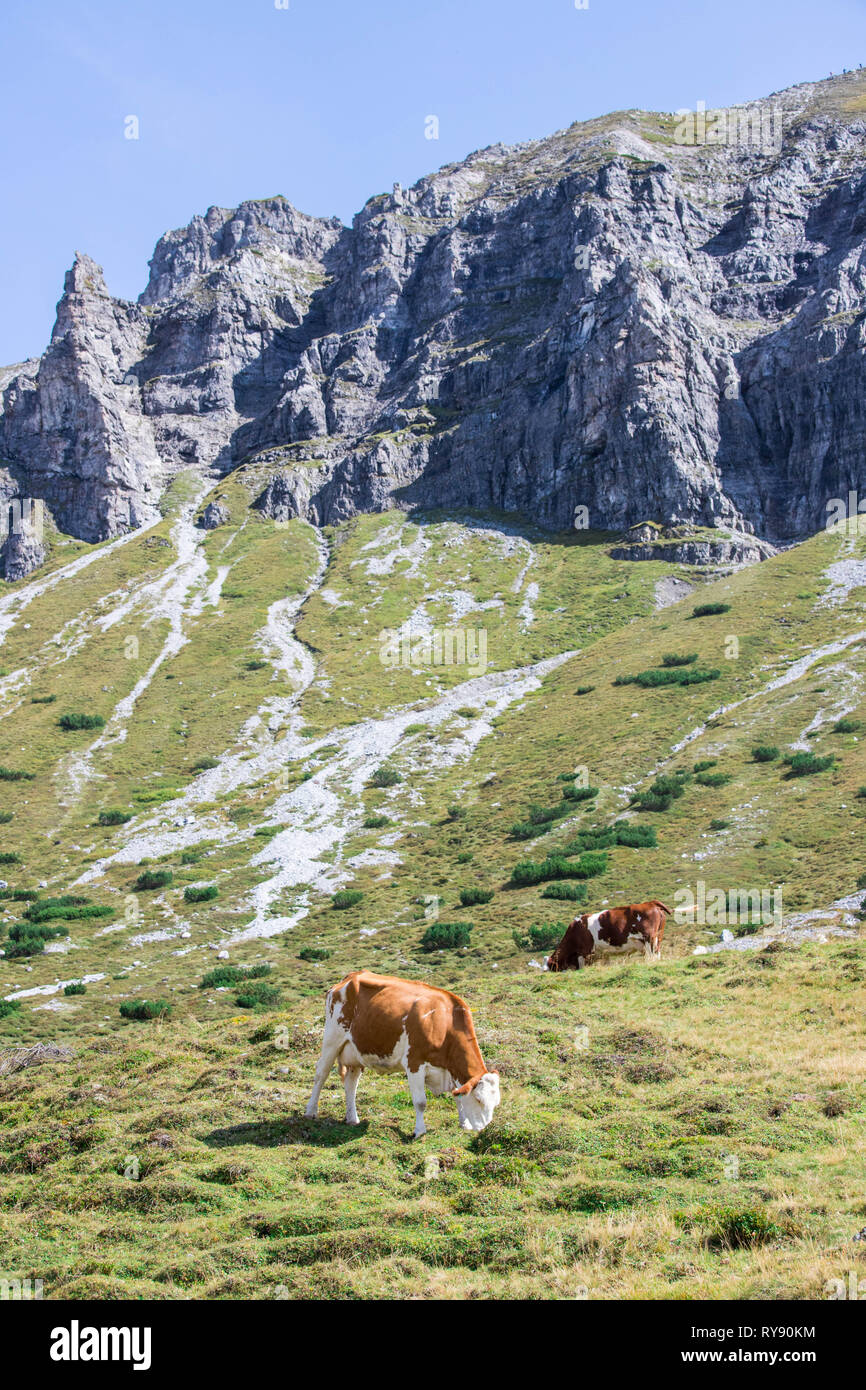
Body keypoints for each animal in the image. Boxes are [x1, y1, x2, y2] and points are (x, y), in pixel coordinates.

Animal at [304, 970, 501, 1139]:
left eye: (495, 1103)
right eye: (478, 1099)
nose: (483, 1129)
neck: (444, 1023)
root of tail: (352, 976)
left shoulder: (451, 1070)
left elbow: (457, 1097)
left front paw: (464, 1124)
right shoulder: (414, 1062)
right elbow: (420, 1102)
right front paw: (419, 1131)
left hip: (355, 1051)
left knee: (351, 1084)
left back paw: (352, 1118)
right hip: (332, 1039)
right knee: (321, 1074)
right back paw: (310, 1112)